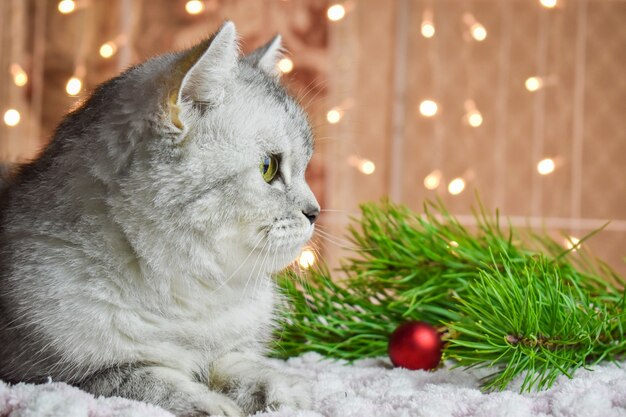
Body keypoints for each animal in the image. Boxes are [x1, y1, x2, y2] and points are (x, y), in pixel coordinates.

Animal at [0, 22, 320, 416]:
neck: (190, 298)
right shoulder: (53, 373)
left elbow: (235, 362)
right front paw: (211, 403)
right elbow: (152, 379)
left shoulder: (229, 346)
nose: (315, 212)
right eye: (268, 167)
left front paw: (281, 389)